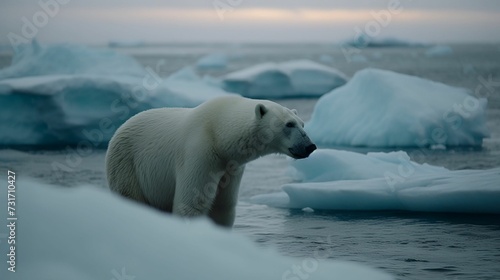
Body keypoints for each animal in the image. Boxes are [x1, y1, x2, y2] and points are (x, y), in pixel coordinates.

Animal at [106, 95, 316, 226]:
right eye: (289, 124)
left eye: (302, 124)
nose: (310, 146)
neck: (218, 134)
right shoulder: (200, 153)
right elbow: (192, 202)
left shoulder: (231, 167)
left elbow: (223, 206)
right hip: (128, 164)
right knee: (130, 196)